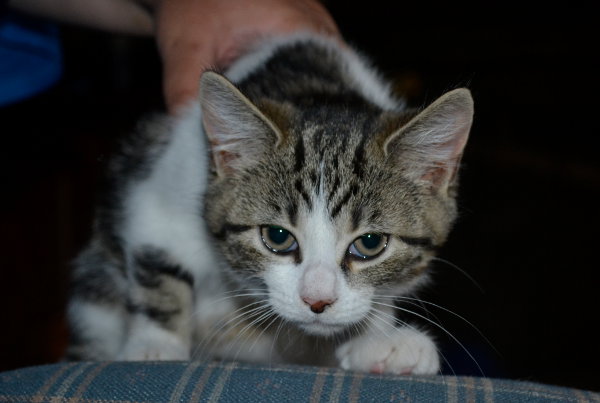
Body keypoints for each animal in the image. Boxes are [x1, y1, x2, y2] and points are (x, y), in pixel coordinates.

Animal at [67, 32, 474, 376]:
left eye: (371, 243)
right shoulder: (161, 186)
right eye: (277, 237)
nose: (317, 302)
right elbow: (158, 262)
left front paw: (379, 339)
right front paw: (155, 347)